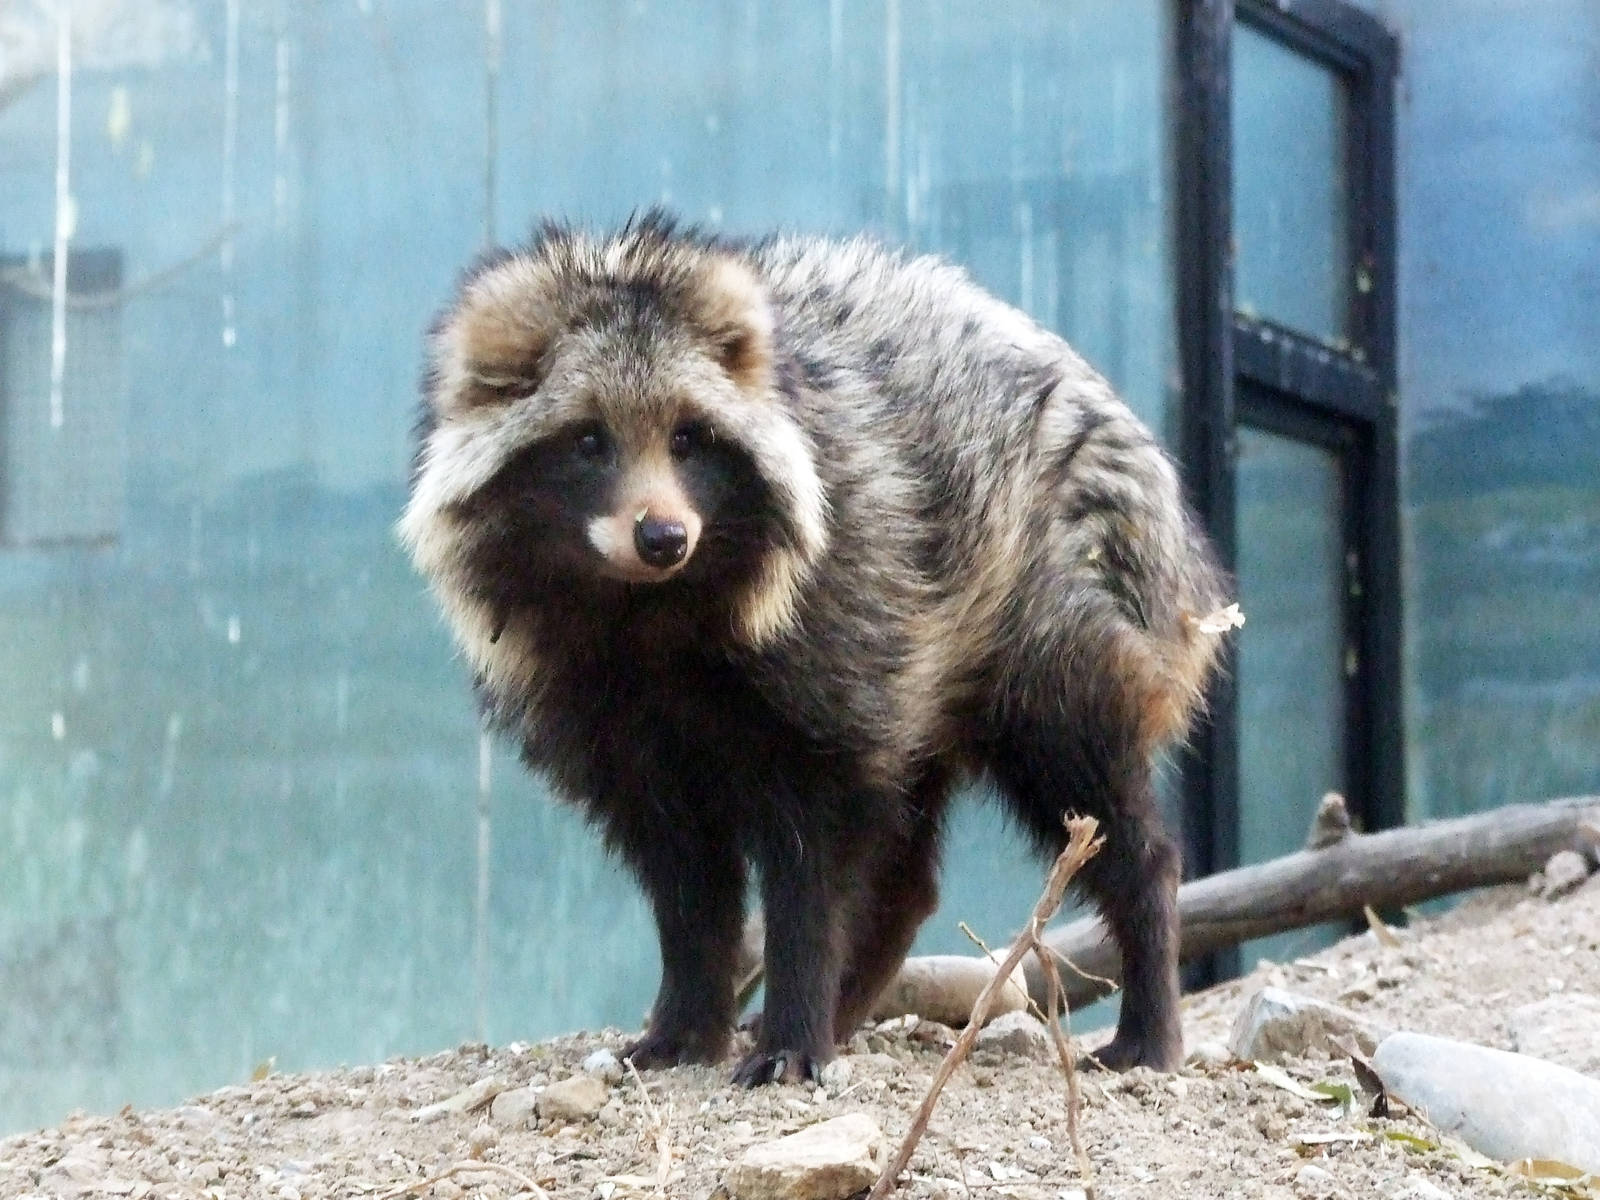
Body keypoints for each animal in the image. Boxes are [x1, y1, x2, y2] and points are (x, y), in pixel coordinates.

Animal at [400, 213, 1230, 1085]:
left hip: (1051, 613)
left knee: (1095, 794)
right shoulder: (611, 720)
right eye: (588, 440)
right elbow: (686, 882)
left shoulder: (836, 636)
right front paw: (688, 1019)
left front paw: (792, 1023)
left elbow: (812, 868)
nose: (664, 537)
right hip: (919, 667)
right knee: (905, 871)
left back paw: (1146, 999)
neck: (647, 607)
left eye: (688, 437)